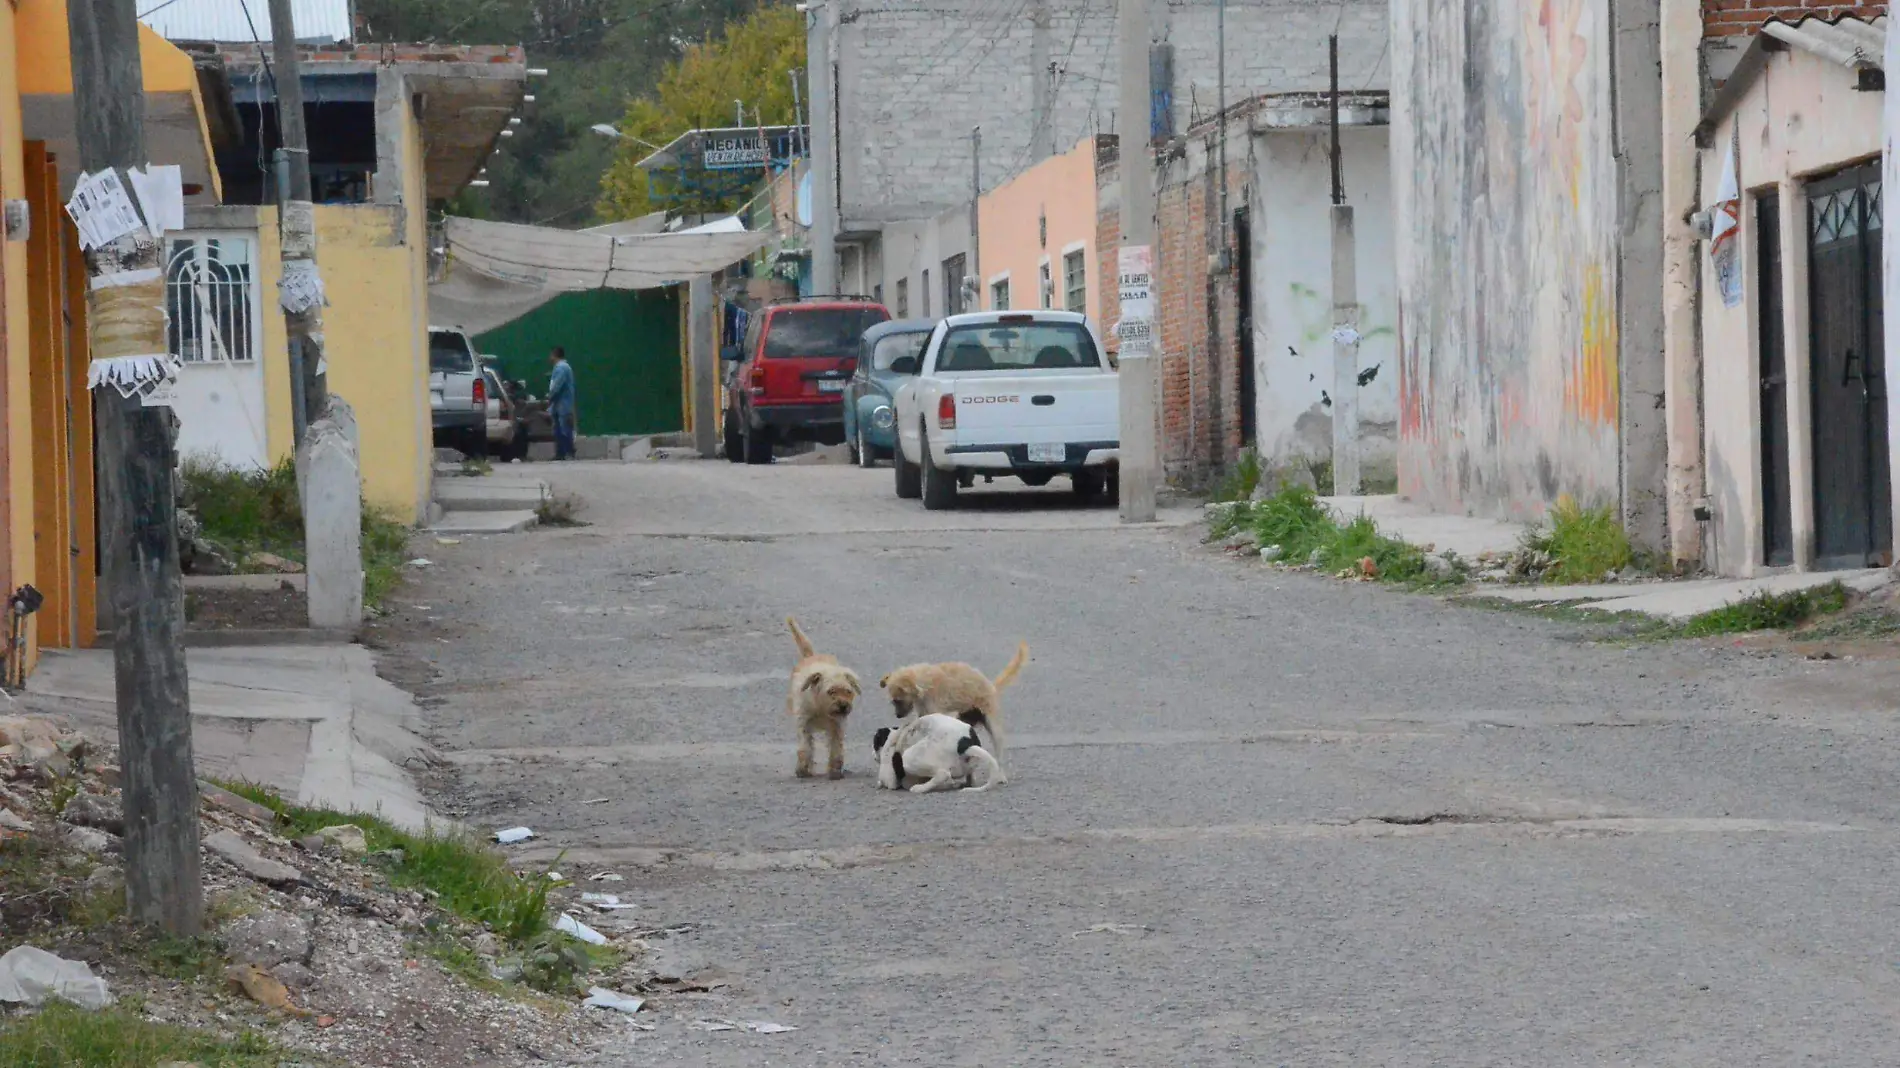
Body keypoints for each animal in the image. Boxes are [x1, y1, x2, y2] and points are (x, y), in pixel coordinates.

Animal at [779, 611, 862, 779]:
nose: (843, 706)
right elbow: (805, 747)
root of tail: (810, 656)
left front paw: (835, 770)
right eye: (831, 691)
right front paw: (803, 769)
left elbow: (836, 747)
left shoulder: (837, 725)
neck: (820, 707)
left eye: (848, 692)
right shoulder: (803, 723)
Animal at [874, 710, 1010, 786]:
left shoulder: (889, 778)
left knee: (943, 774)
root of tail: (965, 744)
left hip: (909, 758)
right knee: (968, 777)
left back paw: (918, 788)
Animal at [881, 638, 1033, 756]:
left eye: (898, 701)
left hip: (992, 724)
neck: (923, 682)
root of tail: (992, 687)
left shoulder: (934, 711)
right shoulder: (923, 713)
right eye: (893, 702)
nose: (898, 716)